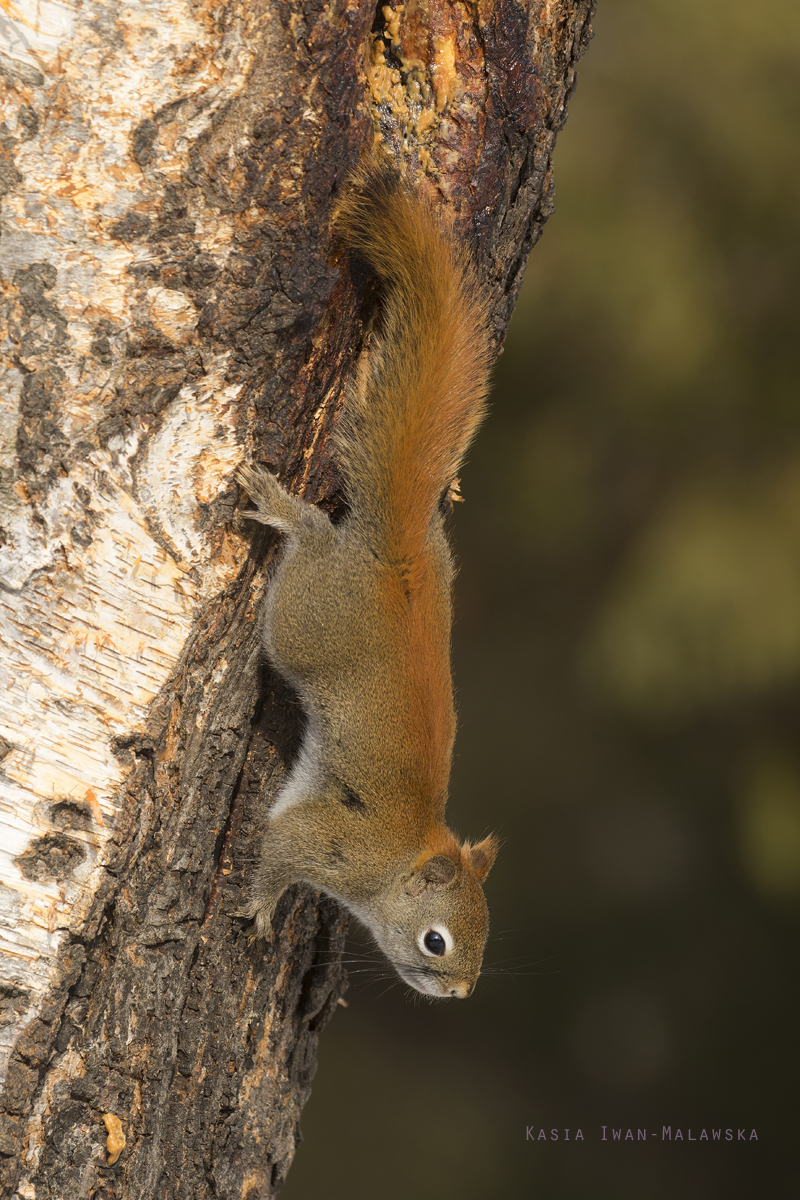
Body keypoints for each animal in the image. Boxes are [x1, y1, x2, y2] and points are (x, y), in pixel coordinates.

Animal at [236, 154, 501, 998]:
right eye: (437, 941)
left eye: (487, 937)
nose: (461, 994)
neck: (405, 854)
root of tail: (400, 557)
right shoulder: (329, 842)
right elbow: (281, 850)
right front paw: (262, 905)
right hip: (303, 623)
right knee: (313, 545)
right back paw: (291, 516)